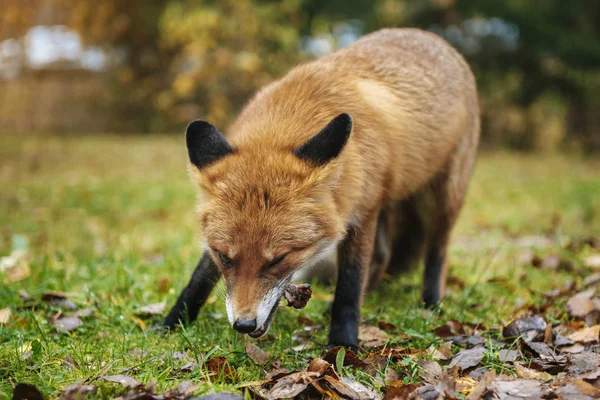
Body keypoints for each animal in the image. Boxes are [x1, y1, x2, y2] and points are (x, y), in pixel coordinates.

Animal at [162, 28, 480, 346]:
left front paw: (343, 342)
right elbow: (199, 277)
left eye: (279, 259)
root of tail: (429, 36)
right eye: (225, 257)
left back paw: (431, 303)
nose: (243, 324)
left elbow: (350, 285)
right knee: (383, 255)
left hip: (443, 198)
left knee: (437, 252)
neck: (290, 117)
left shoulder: (361, 212)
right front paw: (172, 322)